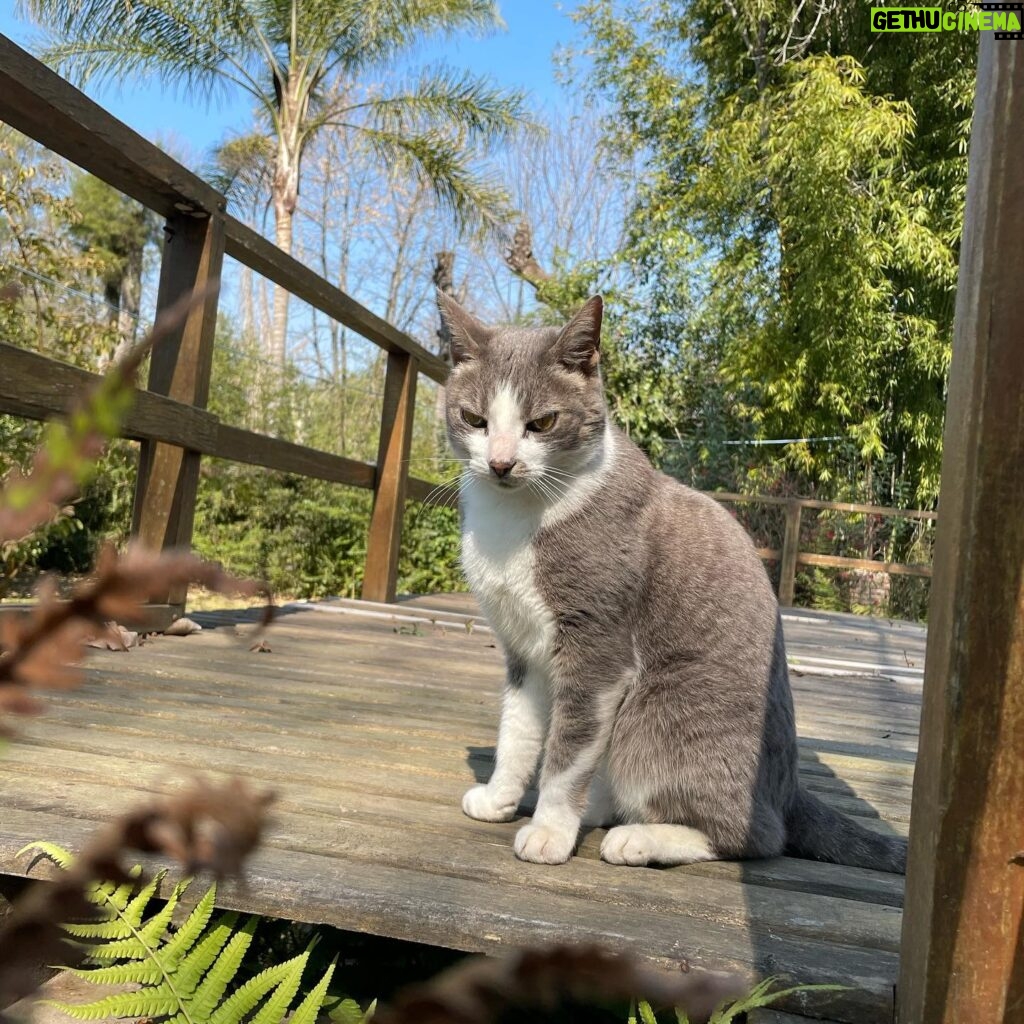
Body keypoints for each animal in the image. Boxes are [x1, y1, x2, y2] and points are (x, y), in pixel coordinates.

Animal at [436, 290, 909, 872]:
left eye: (543, 422)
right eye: (474, 418)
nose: (501, 463)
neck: (514, 518)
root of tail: (789, 792)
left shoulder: (598, 649)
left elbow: (568, 752)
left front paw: (548, 831)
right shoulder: (523, 648)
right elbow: (519, 730)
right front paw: (500, 797)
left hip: (657, 711)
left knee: (755, 836)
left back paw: (637, 838)